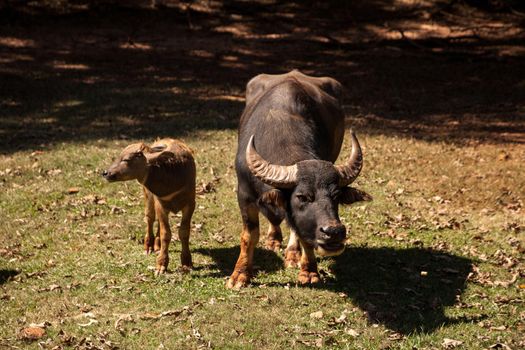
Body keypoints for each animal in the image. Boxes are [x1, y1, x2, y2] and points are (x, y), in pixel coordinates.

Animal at [101, 138, 195, 274]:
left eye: (126, 159)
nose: (105, 173)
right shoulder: (160, 204)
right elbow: (166, 234)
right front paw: (161, 265)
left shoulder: (190, 204)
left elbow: (184, 232)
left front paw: (187, 262)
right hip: (147, 195)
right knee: (150, 217)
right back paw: (149, 246)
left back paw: (157, 245)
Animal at [227, 69, 370, 288]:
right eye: (302, 197)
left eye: (336, 196)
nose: (334, 232)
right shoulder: (244, 194)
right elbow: (249, 236)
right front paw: (240, 275)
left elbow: (302, 232)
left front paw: (308, 270)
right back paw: (274, 239)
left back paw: (293, 253)